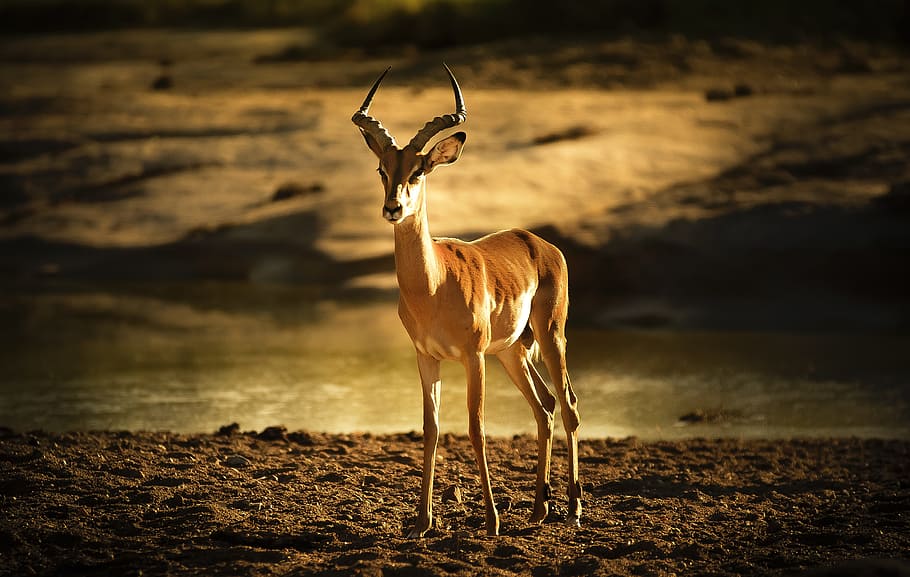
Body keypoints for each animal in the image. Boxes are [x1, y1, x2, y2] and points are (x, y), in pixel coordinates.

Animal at [352, 65, 581, 537]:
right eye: (382, 169)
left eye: (418, 171)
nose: (392, 208)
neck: (433, 286)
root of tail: (540, 243)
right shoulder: (426, 357)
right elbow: (431, 428)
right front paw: (421, 522)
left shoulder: (473, 357)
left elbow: (476, 428)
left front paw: (491, 520)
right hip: (513, 351)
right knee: (545, 407)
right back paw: (539, 509)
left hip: (550, 336)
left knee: (568, 404)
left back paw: (572, 508)